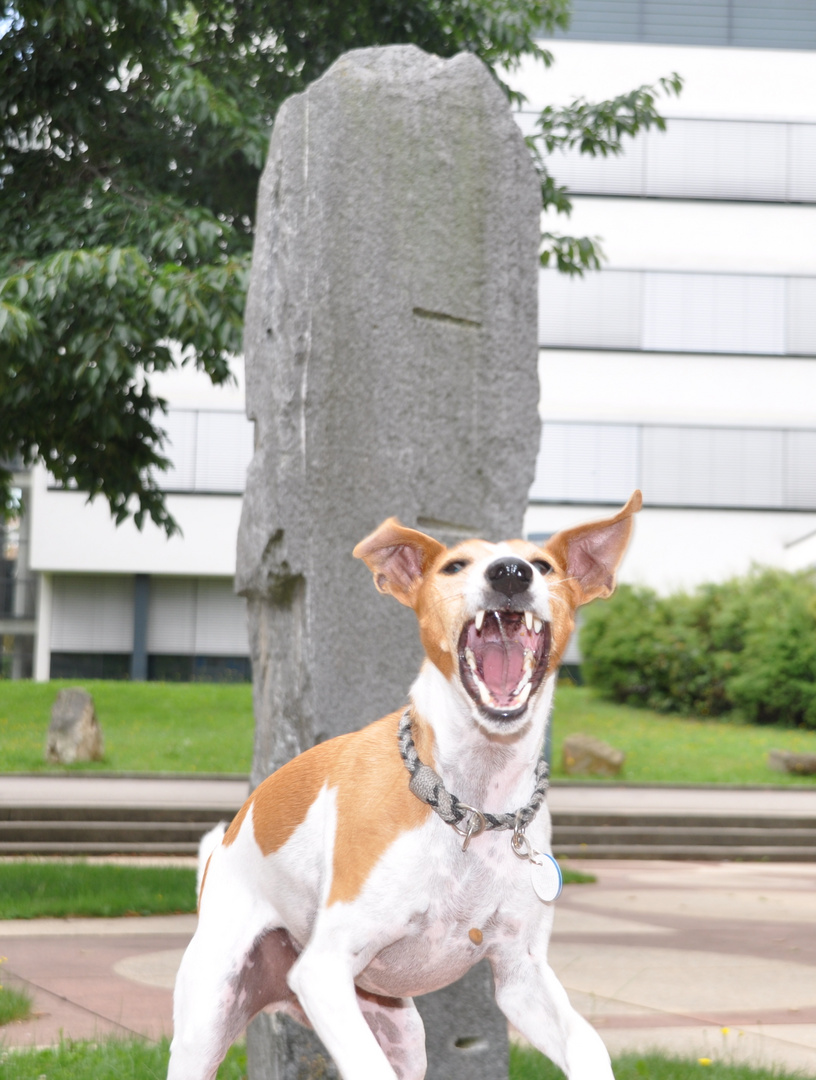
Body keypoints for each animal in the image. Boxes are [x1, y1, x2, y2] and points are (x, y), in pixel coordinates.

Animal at [170, 492, 643, 1080]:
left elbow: (587, 1044)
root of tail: (224, 847)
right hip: (209, 1018)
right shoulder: (324, 970)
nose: (511, 572)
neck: (470, 804)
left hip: (401, 1032)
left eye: (544, 565)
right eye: (454, 565)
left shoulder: (521, 975)